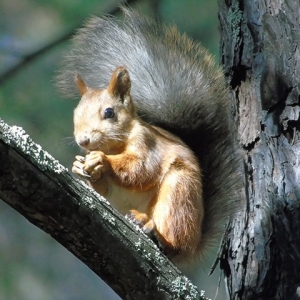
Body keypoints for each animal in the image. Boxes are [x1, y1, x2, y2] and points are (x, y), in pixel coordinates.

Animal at [56, 6, 240, 270]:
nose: (83, 141)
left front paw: (102, 161)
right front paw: (79, 167)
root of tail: (194, 244)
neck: (115, 146)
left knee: (174, 240)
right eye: (75, 113)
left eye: (109, 113)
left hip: (179, 194)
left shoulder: (148, 143)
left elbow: (141, 169)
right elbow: (105, 189)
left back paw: (154, 230)